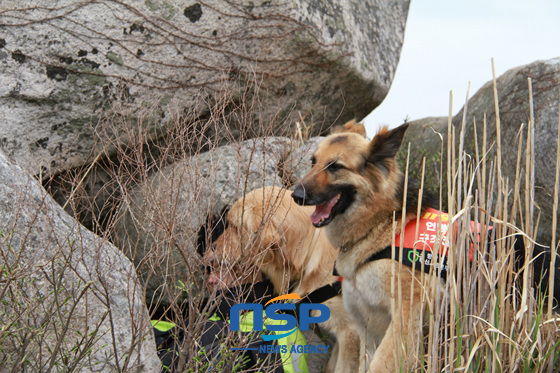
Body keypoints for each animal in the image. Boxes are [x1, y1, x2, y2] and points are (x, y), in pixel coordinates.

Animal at [290, 120, 436, 370]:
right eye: (313, 161)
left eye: (336, 166)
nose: (296, 195)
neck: (380, 225)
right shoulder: (365, 327)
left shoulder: (404, 317)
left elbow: (380, 364)